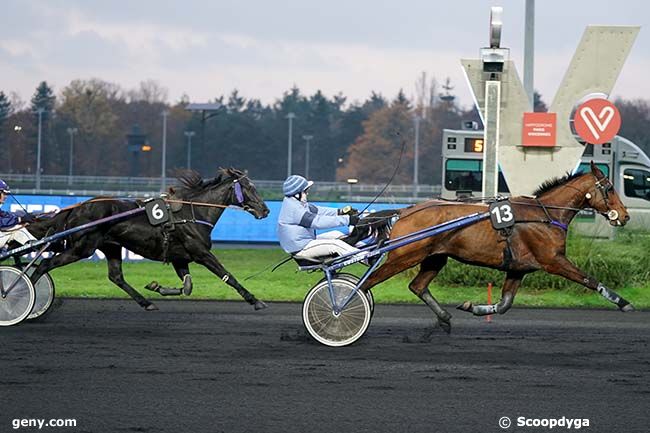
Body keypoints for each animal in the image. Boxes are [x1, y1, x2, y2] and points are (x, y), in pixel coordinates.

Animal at [23, 166, 268, 310]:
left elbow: (187, 286)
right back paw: (24, 295)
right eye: (249, 187)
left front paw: (156, 287)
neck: (193, 212)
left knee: (116, 277)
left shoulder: (180, 258)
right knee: (45, 264)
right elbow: (228, 276)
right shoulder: (201, 253)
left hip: (111, 246)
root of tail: (78, 207)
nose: (265, 210)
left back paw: (146, 302)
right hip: (82, 248)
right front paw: (255, 300)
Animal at [356, 160, 632, 332]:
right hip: (404, 256)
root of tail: (404, 211)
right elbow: (589, 280)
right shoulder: (553, 260)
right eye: (609, 188)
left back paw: (444, 318)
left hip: (435, 257)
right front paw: (624, 303)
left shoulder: (519, 268)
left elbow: (504, 304)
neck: (544, 215)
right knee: (366, 284)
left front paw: (473, 307)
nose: (625, 215)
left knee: (418, 286)